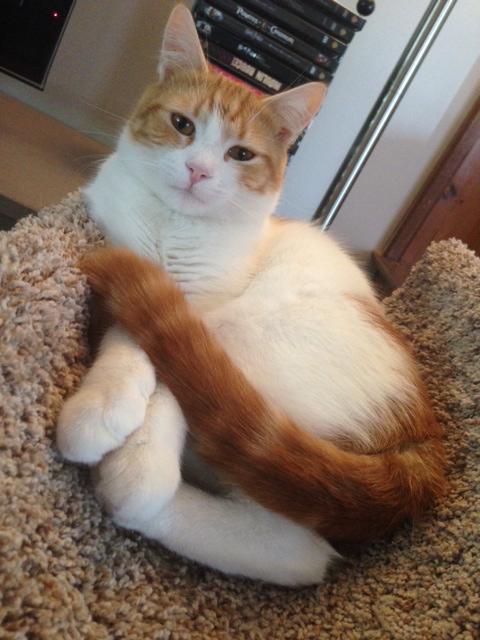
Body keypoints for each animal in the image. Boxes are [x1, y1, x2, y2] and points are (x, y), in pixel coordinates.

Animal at [57, 3, 446, 584]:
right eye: (182, 125)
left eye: (240, 154)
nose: (199, 170)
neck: (173, 230)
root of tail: (424, 434)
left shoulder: (194, 303)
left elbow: (154, 354)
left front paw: (125, 436)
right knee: (295, 553)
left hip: (252, 329)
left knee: (295, 547)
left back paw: (137, 485)